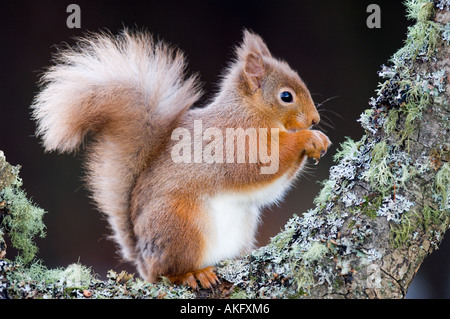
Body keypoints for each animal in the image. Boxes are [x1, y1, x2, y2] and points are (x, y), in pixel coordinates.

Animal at [31, 29, 330, 290]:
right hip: (180, 227)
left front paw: (319, 139)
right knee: (169, 272)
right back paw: (193, 275)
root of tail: (142, 258)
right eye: (286, 96)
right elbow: (260, 166)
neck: (249, 111)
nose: (314, 120)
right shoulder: (233, 145)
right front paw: (307, 138)